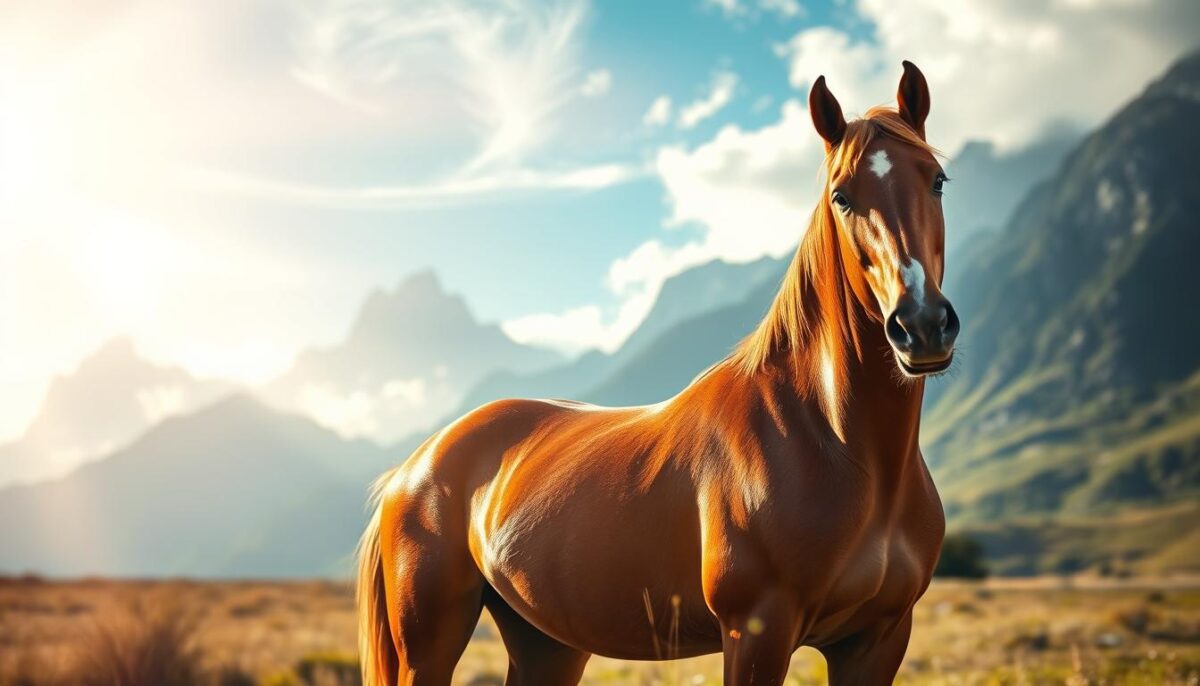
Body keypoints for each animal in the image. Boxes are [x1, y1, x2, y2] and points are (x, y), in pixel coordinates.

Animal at [357, 60, 958, 686]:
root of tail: (413, 467)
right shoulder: (756, 631)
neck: (832, 441)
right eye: (841, 195)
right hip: (428, 647)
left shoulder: (878, 639)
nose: (921, 325)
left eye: (937, 180)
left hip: (547, 643)